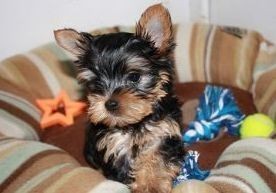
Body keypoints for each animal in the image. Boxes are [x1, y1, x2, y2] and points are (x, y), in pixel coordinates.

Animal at [54, 3, 185, 193]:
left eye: (134, 77)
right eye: (96, 82)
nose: (109, 104)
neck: (134, 124)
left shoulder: (163, 134)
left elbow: (156, 159)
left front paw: (152, 185)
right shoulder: (113, 146)